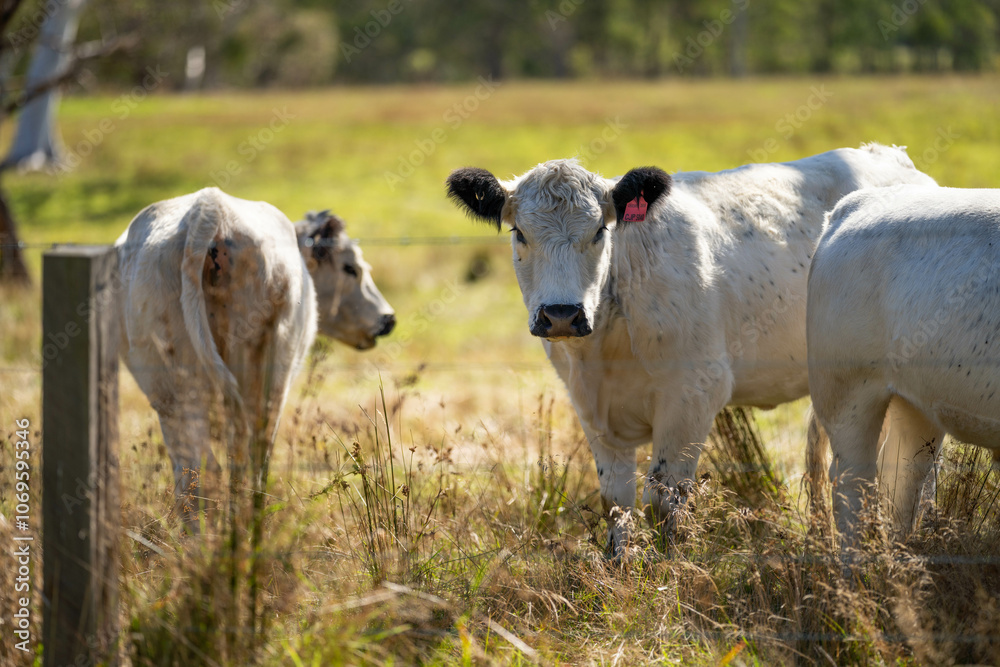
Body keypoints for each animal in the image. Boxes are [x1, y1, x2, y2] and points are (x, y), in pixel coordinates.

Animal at [116, 187, 395, 519]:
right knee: (251, 451)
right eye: (350, 267)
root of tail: (210, 207)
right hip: (263, 366)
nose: (388, 319)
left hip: (170, 386)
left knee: (195, 472)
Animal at [446, 144, 936, 556]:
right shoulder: (591, 409)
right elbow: (616, 504)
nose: (562, 314)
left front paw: (667, 576)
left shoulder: (693, 396)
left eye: (600, 230)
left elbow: (662, 500)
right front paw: (618, 573)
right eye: (519, 232)